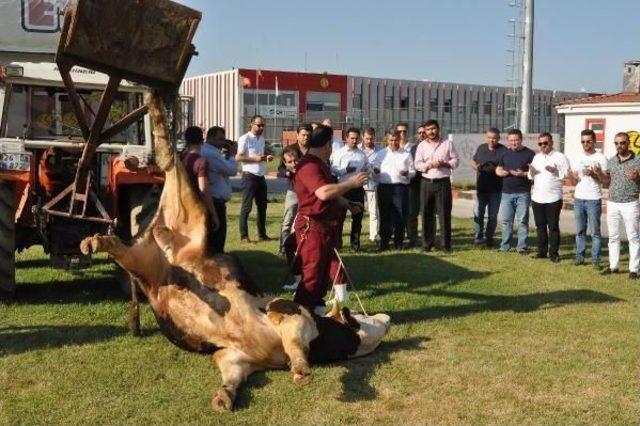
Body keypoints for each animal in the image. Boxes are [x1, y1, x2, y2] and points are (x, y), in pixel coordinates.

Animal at [80, 92, 390, 410]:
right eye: (364, 317)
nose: (387, 319)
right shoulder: (289, 314)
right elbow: (295, 344)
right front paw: (302, 371)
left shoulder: (234, 359)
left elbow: (231, 379)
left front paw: (223, 398)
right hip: (195, 214)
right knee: (170, 158)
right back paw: (157, 104)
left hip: (145, 262)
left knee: (125, 247)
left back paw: (96, 242)